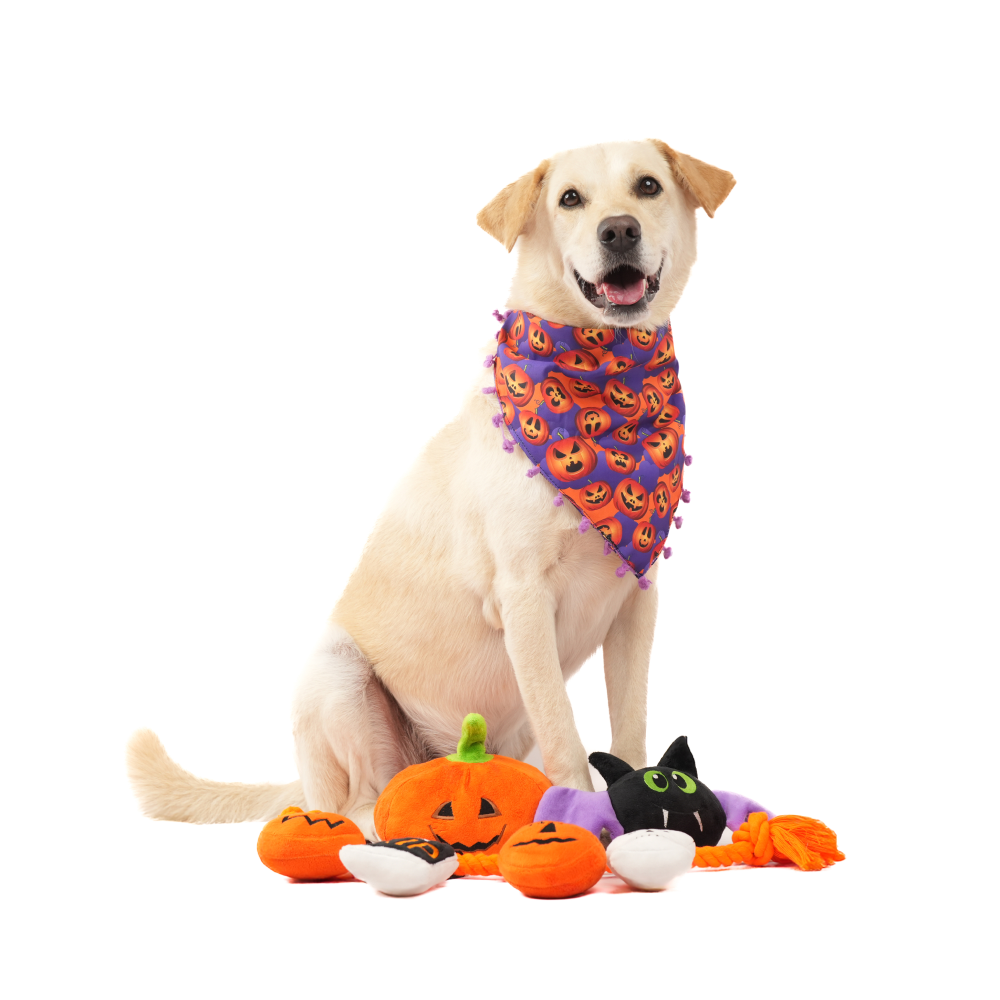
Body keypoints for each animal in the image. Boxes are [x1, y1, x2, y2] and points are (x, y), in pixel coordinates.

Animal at [127, 139, 734, 840]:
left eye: (648, 186)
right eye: (569, 199)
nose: (619, 230)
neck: (599, 380)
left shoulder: (637, 601)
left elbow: (629, 725)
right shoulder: (523, 599)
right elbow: (564, 733)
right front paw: (583, 820)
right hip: (336, 673)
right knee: (356, 801)